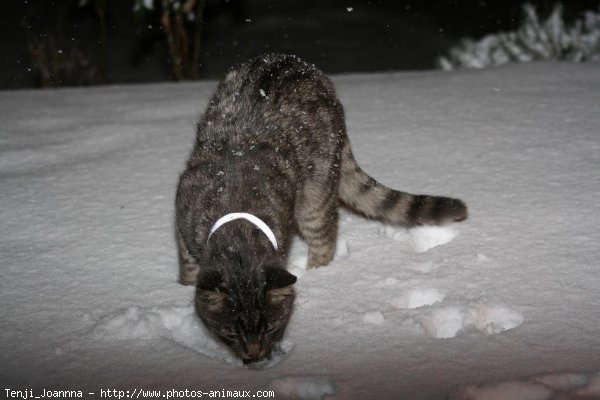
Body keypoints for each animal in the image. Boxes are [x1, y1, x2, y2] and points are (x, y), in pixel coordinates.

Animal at [176, 54, 466, 366]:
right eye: (231, 334)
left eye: (271, 328)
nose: (254, 356)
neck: (238, 228)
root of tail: (305, 66)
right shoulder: (183, 215)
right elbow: (189, 267)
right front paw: (184, 286)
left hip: (317, 188)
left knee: (324, 236)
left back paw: (318, 272)